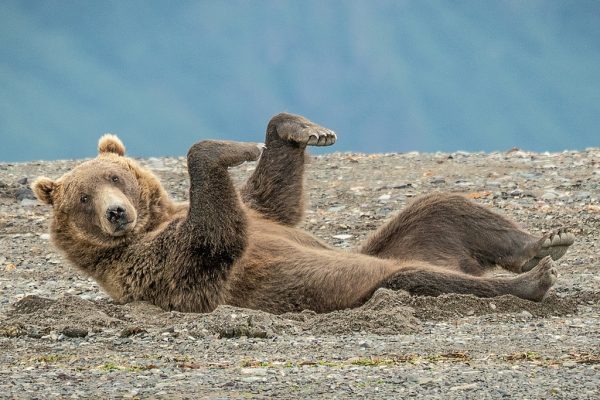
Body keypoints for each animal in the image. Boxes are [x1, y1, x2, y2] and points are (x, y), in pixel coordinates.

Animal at [34, 111, 576, 312]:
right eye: (82, 198)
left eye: (115, 177)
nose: (117, 214)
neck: (155, 220)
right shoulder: (153, 265)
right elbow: (216, 237)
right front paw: (231, 147)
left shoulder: (260, 212)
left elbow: (273, 197)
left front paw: (304, 130)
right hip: (369, 279)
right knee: (421, 278)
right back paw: (531, 280)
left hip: (406, 237)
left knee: (441, 206)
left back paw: (544, 243)